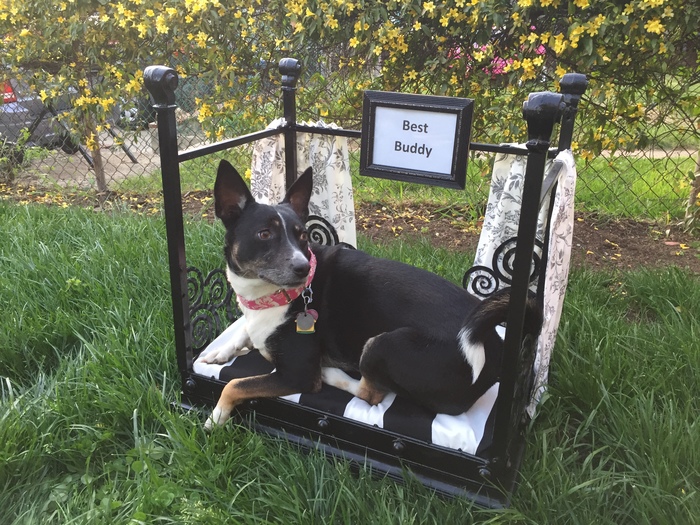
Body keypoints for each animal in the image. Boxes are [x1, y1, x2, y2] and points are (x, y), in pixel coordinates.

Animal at [200, 161, 544, 430]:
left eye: (302, 236)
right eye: (264, 234)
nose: (302, 268)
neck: (269, 297)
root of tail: (495, 349)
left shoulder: (297, 376)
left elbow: (234, 384)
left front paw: (216, 417)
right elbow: (243, 332)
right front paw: (221, 352)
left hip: (384, 343)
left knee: (372, 394)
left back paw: (334, 374)